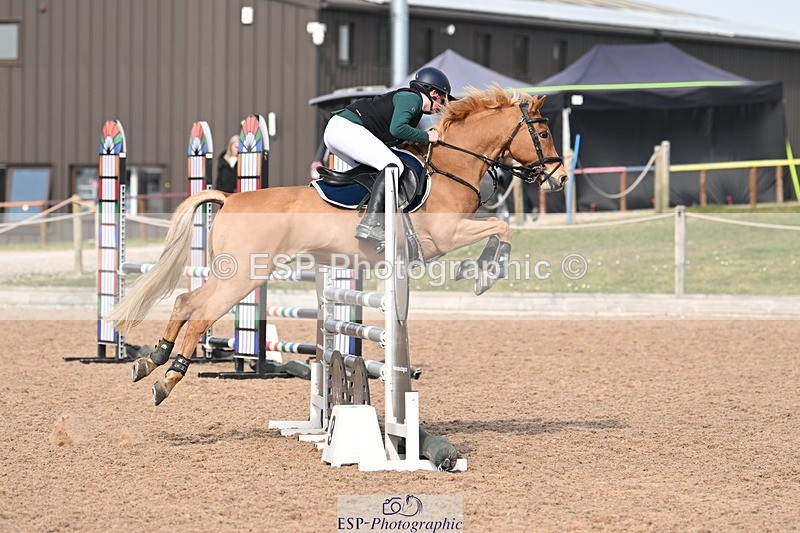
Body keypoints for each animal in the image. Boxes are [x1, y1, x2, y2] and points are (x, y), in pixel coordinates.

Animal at [111, 86, 567, 405]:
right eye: (544, 132)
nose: (561, 178)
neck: (450, 166)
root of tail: (231, 197)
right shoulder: (445, 234)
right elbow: (501, 228)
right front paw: (484, 275)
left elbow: (499, 228)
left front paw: (481, 272)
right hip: (244, 276)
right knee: (201, 315)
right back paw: (167, 379)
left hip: (231, 272)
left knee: (185, 302)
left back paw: (151, 360)